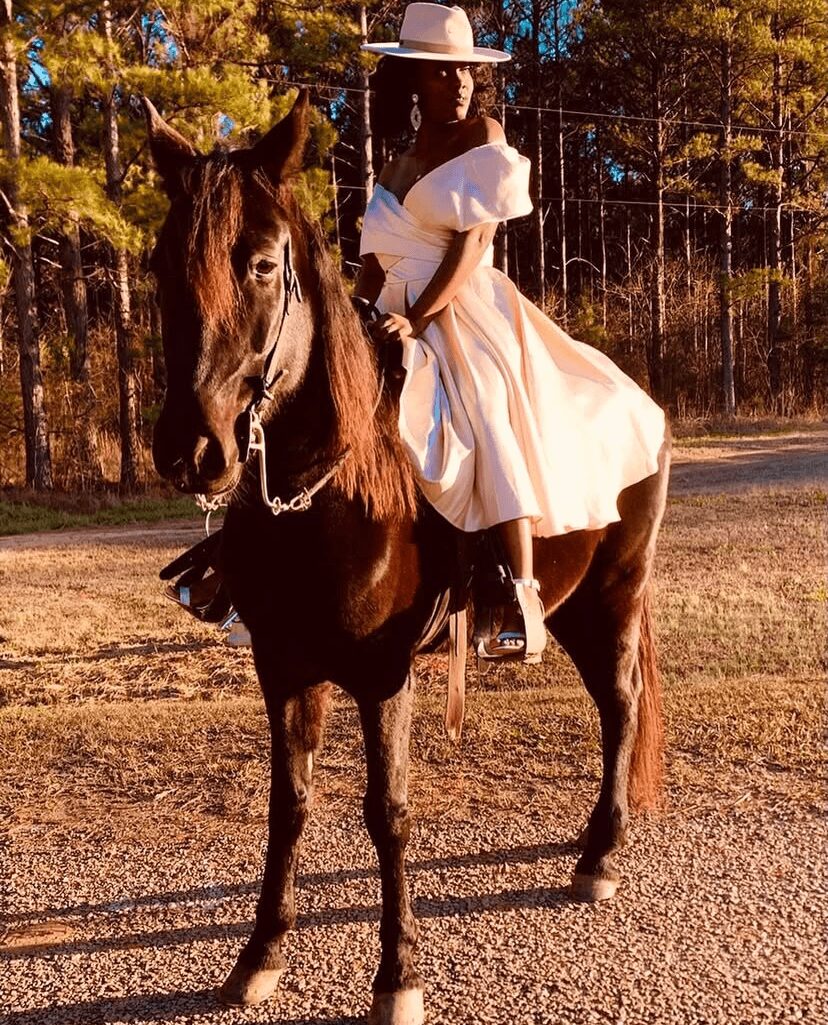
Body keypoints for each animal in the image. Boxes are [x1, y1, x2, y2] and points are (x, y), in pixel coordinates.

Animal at [143, 89, 671, 1025]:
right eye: (160, 264)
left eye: (263, 264)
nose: (193, 450)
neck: (329, 495)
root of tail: (641, 404)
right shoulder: (285, 667)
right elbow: (289, 802)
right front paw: (259, 954)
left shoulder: (385, 673)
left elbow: (387, 810)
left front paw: (398, 974)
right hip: (575, 608)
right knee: (615, 708)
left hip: (613, 597)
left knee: (621, 707)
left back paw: (600, 857)